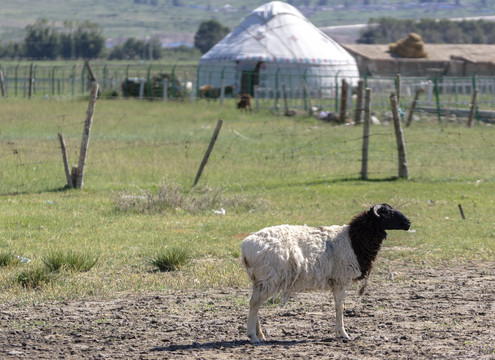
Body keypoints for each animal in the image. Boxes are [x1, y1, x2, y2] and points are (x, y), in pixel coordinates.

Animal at [240, 202, 410, 344]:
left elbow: (338, 306)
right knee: (255, 303)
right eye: (387, 213)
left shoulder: (336, 281)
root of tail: (245, 246)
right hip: (268, 278)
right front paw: (344, 334)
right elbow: (340, 307)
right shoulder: (341, 280)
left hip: (259, 280)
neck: (353, 240)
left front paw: (339, 332)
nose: (408, 223)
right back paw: (253, 336)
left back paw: (260, 334)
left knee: (254, 303)